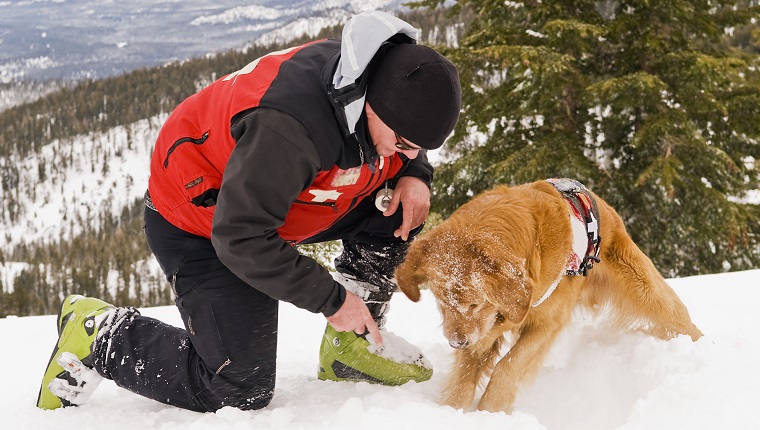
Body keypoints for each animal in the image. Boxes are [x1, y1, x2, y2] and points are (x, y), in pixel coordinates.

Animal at [394, 179, 704, 414]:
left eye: (475, 302)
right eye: (440, 301)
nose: (456, 342)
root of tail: (603, 205)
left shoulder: (546, 322)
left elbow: (508, 366)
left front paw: (490, 412)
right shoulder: (483, 330)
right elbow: (465, 376)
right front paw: (452, 411)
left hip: (646, 291)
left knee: (679, 318)